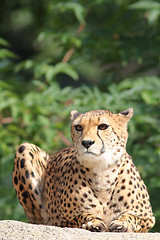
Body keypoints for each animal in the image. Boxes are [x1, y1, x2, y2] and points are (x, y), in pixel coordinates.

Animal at [12, 109, 155, 232]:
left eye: (103, 126)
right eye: (79, 127)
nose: (87, 143)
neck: (102, 172)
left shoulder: (149, 219)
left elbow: (133, 217)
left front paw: (122, 223)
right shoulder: (62, 220)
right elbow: (82, 215)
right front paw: (93, 222)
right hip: (25, 147)